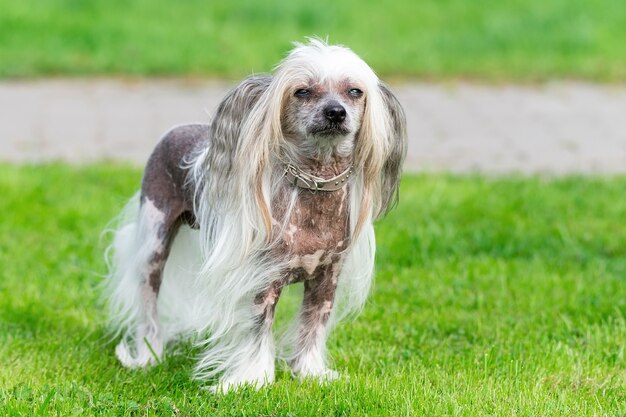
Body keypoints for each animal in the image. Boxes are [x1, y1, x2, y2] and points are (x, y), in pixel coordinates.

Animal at [105, 38, 408, 390]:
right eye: (302, 91)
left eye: (355, 91)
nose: (335, 112)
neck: (314, 190)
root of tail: (176, 128)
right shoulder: (261, 280)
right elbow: (257, 332)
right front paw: (252, 381)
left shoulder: (327, 279)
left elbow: (313, 326)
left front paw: (310, 372)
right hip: (153, 245)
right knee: (148, 304)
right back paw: (148, 356)